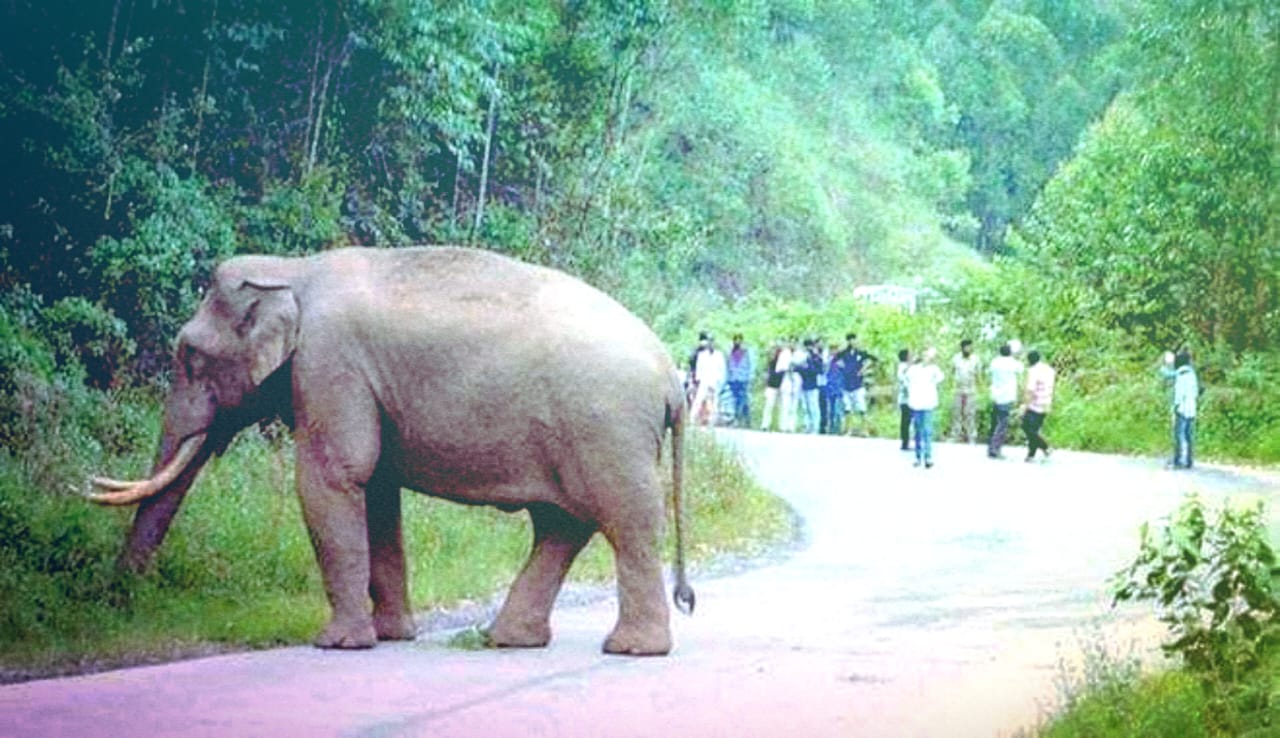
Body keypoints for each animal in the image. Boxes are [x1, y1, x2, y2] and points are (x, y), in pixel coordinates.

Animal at [90, 246, 695, 656]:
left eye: (190, 356)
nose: (118, 600)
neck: (294, 270)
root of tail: (671, 374)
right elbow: (378, 491)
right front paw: (391, 635)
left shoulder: (330, 362)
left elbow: (334, 475)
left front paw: (337, 643)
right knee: (562, 524)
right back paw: (507, 639)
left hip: (607, 429)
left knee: (625, 522)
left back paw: (630, 649)